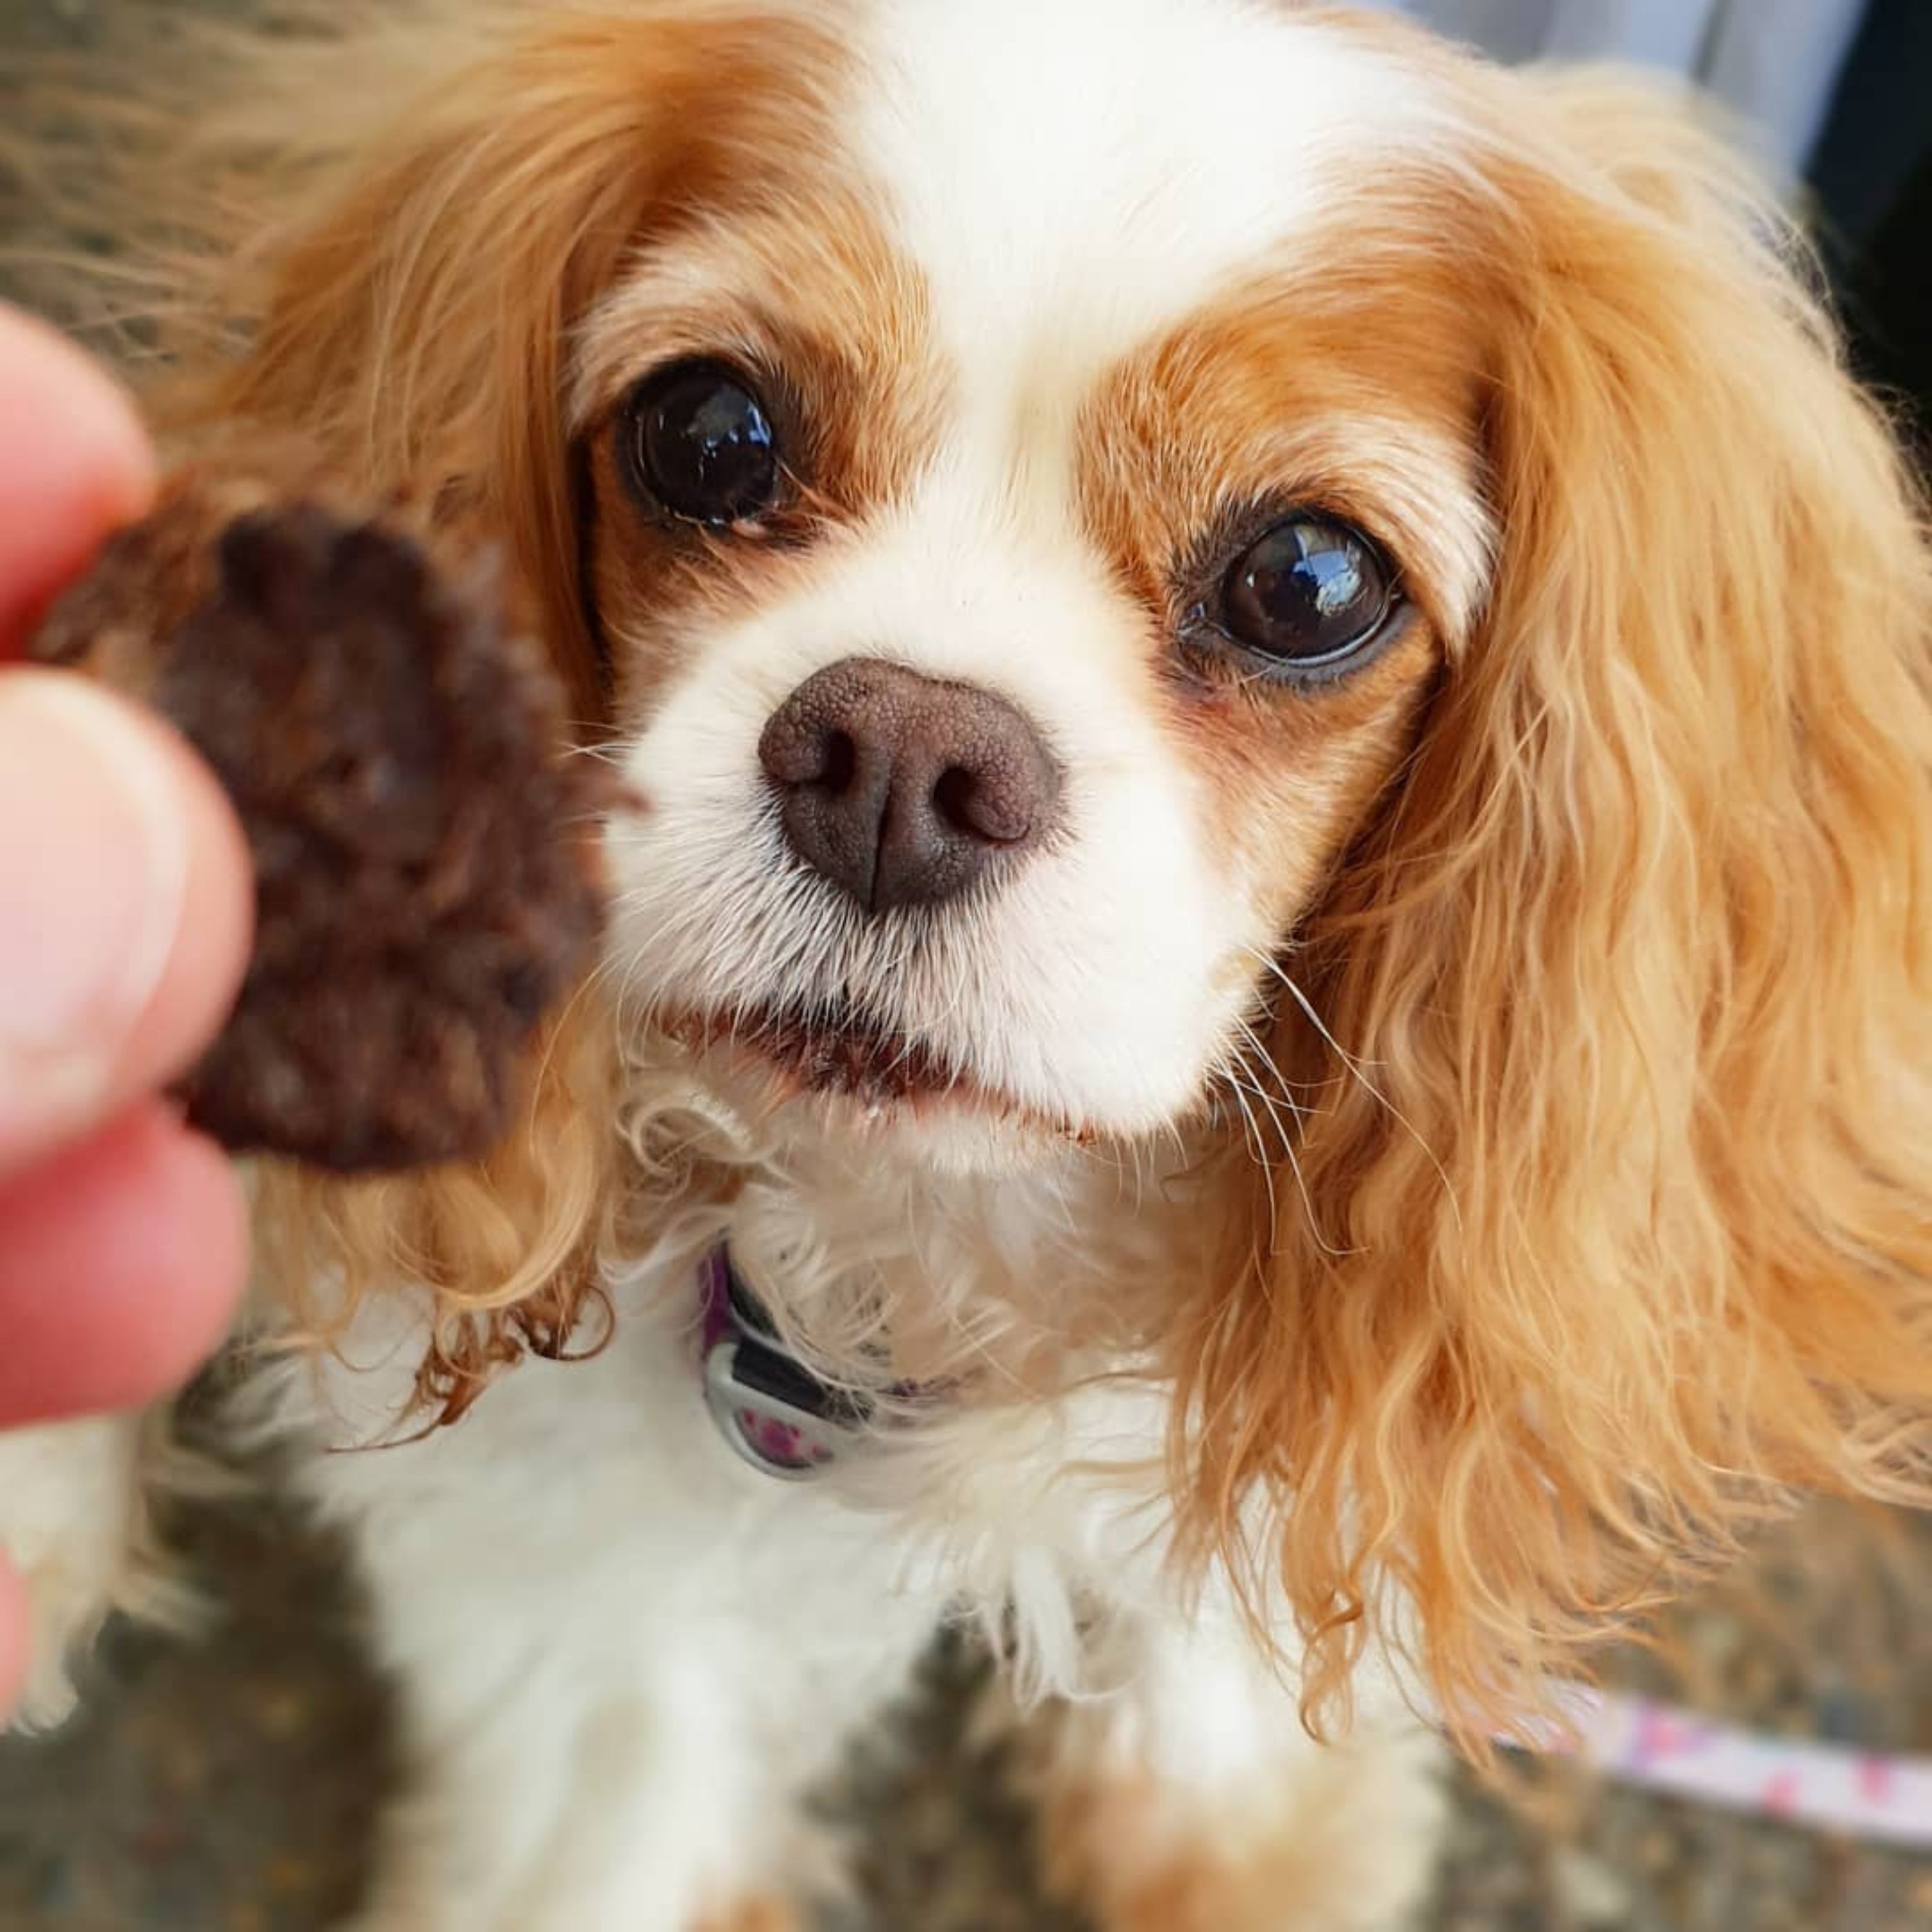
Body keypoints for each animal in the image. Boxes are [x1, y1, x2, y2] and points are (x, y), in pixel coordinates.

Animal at [4, 4, 1932, 1932]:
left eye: (1308, 579)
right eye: (707, 432)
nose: (900, 756)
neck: (920, 1253)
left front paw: (1233, 1820)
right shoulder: (563, 1537)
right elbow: (611, 1779)